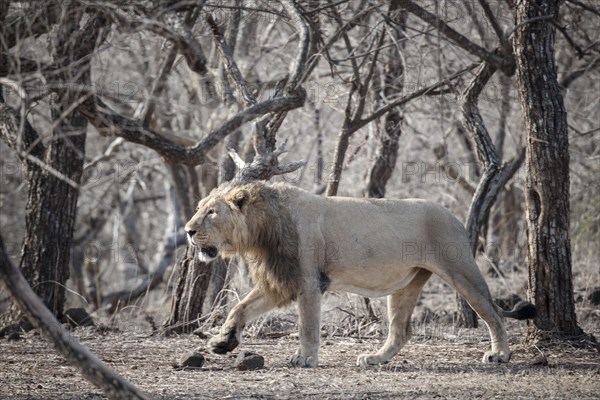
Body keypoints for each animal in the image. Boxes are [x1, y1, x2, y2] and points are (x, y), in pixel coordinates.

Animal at [185, 180, 536, 368]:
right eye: (199, 208)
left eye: (211, 212)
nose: (188, 230)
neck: (261, 230)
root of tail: (455, 216)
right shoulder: (280, 281)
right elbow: (239, 308)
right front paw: (223, 342)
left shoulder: (309, 281)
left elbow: (307, 326)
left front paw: (306, 358)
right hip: (407, 283)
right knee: (400, 331)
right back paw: (375, 359)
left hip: (461, 270)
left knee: (493, 313)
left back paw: (499, 354)